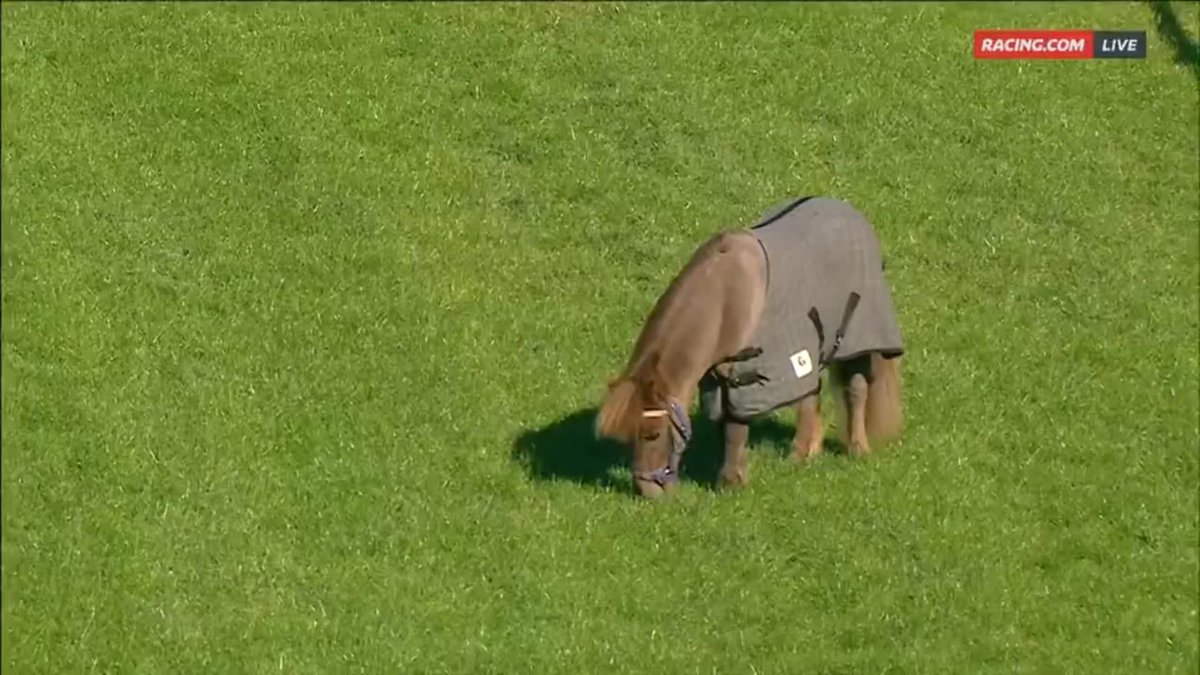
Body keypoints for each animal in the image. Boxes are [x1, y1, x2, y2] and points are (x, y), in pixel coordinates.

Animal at [595, 196, 905, 498]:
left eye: (653, 434)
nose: (646, 492)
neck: (724, 301)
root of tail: (850, 211)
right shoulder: (718, 377)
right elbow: (726, 424)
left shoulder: (747, 374)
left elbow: (736, 427)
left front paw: (731, 483)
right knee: (810, 395)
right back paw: (804, 453)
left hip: (859, 336)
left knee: (856, 389)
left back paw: (857, 448)